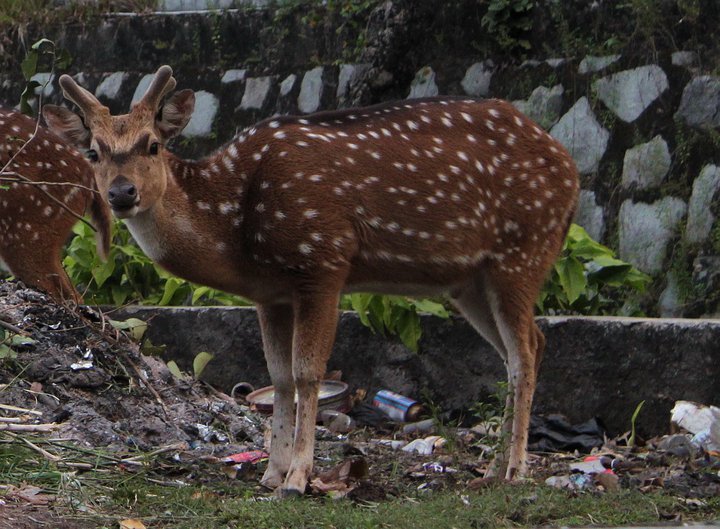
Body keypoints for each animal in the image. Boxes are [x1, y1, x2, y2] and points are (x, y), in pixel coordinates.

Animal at [43, 65, 580, 496]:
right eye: (94, 152)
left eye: (152, 145)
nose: (122, 193)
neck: (237, 227)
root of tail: (570, 168)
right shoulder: (270, 294)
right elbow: (278, 378)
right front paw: (270, 473)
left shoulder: (324, 261)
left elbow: (307, 374)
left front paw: (299, 478)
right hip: (469, 280)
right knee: (529, 343)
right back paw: (490, 469)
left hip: (524, 247)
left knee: (523, 352)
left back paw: (515, 470)